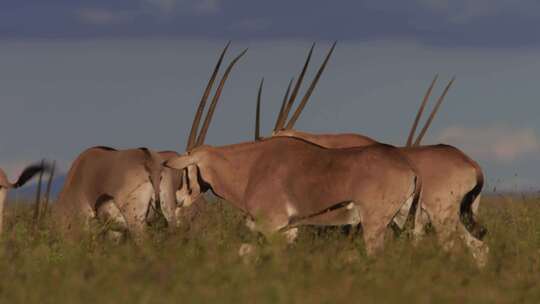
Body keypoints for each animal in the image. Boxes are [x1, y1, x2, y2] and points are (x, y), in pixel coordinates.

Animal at [162, 44, 424, 256]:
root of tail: (409, 169)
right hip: (397, 221)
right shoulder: (287, 231)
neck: (248, 167)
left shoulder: (273, 226)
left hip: (373, 224)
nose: (179, 198)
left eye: (187, 169)